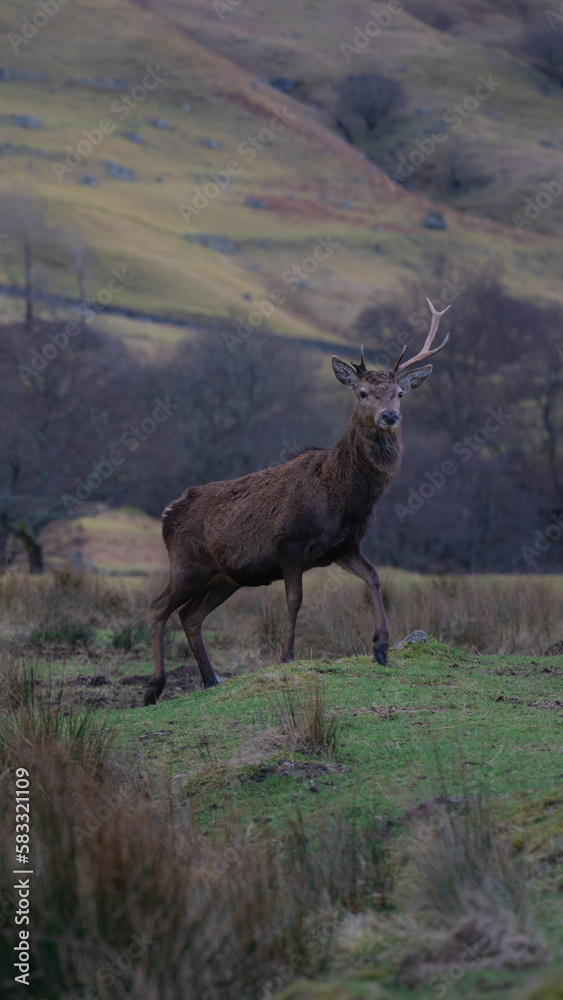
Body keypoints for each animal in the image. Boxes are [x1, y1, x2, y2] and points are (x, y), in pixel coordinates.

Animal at [143, 299, 450, 705]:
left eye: (400, 393)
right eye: (362, 392)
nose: (390, 416)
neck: (341, 499)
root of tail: (168, 512)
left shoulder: (343, 547)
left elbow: (374, 577)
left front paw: (382, 647)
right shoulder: (289, 545)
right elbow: (294, 600)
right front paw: (287, 656)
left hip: (227, 576)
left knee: (190, 616)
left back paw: (212, 680)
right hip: (187, 564)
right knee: (158, 607)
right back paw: (154, 686)